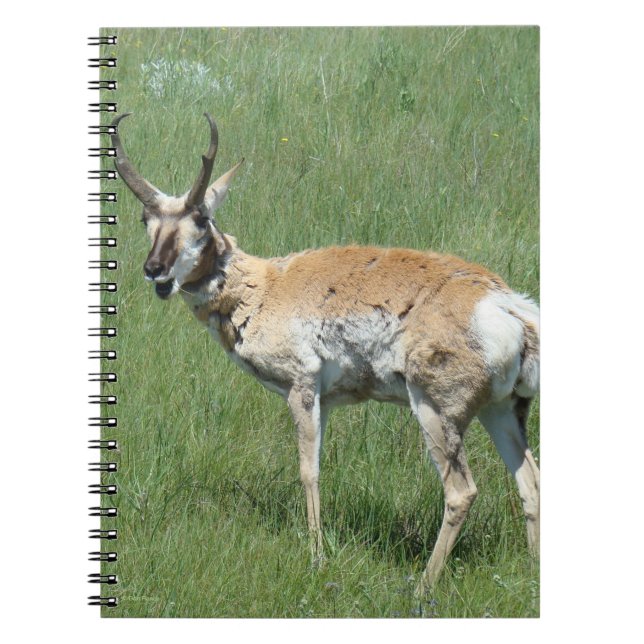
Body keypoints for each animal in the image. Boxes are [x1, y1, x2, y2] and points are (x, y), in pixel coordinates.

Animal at [110, 113, 540, 594]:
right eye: (145, 218)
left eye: (201, 218)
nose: (155, 270)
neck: (266, 286)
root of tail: (506, 304)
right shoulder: (327, 400)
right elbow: (318, 465)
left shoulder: (301, 387)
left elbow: (307, 470)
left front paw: (316, 557)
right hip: (502, 411)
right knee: (531, 484)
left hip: (436, 410)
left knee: (462, 492)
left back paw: (422, 587)